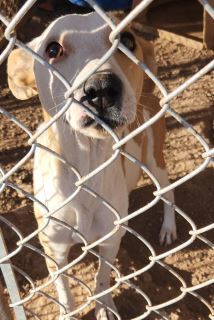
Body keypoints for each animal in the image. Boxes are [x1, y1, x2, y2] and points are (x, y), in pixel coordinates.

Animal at [7, 11, 176, 318]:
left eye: (126, 40)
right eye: (53, 50)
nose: (101, 89)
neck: (85, 171)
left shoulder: (110, 241)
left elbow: (102, 277)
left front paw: (104, 305)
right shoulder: (53, 249)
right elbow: (63, 290)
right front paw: (67, 311)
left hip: (155, 161)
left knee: (168, 193)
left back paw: (168, 227)